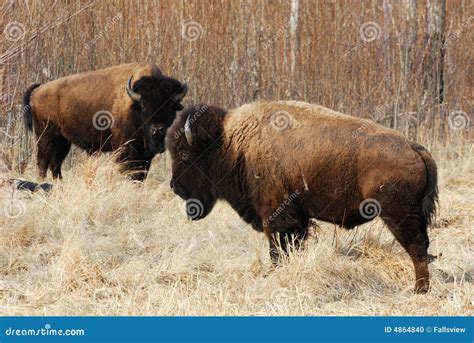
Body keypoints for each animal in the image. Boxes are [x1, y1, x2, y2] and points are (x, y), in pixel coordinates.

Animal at [23, 62, 187, 180]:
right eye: (144, 107)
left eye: (170, 107)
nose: (157, 130)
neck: (133, 105)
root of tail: (39, 89)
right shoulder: (125, 149)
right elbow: (128, 170)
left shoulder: (145, 155)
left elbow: (140, 174)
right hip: (45, 137)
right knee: (43, 162)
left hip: (62, 141)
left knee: (55, 164)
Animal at [168, 101, 440, 294]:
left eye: (183, 152)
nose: (174, 187)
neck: (232, 143)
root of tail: (414, 147)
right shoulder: (298, 219)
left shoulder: (275, 218)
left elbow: (277, 250)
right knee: (423, 246)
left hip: (398, 215)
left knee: (417, 247)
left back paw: (419, 290)